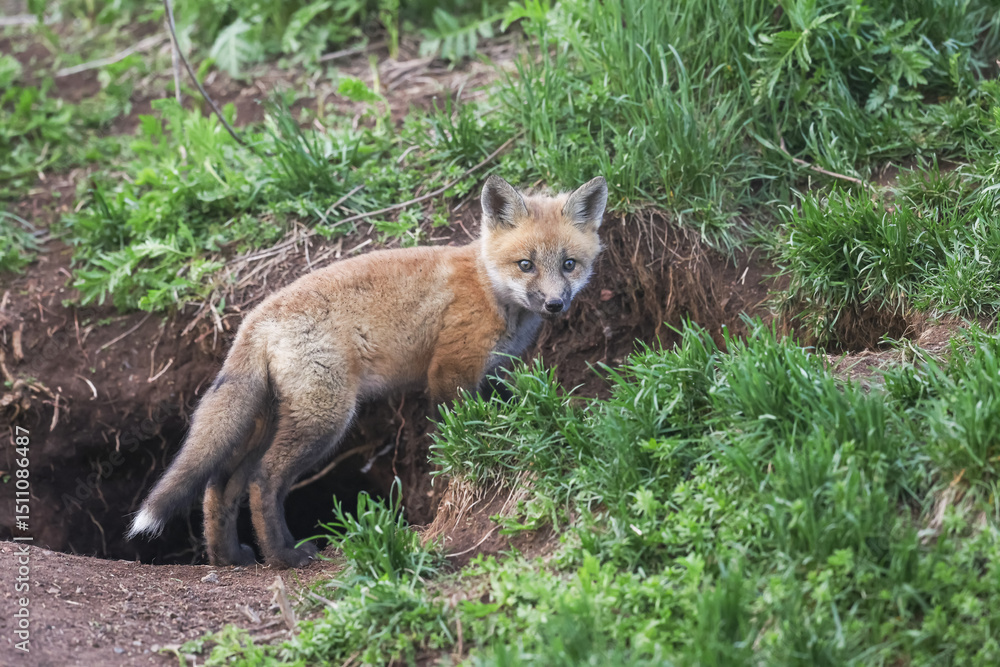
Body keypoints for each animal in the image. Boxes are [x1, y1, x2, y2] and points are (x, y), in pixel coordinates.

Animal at [126, 174, 608, 568]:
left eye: (569, 264)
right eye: (526, 264)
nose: (555, 304)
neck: (490, 291)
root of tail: (256, 317)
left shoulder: (491, 373)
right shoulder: (449, 371)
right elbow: (457, 429)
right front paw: (462, 463)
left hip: (268, 420)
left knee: (220, 484)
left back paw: (229, 557)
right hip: (324, 420)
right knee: (263, 480)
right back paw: (284, 557)